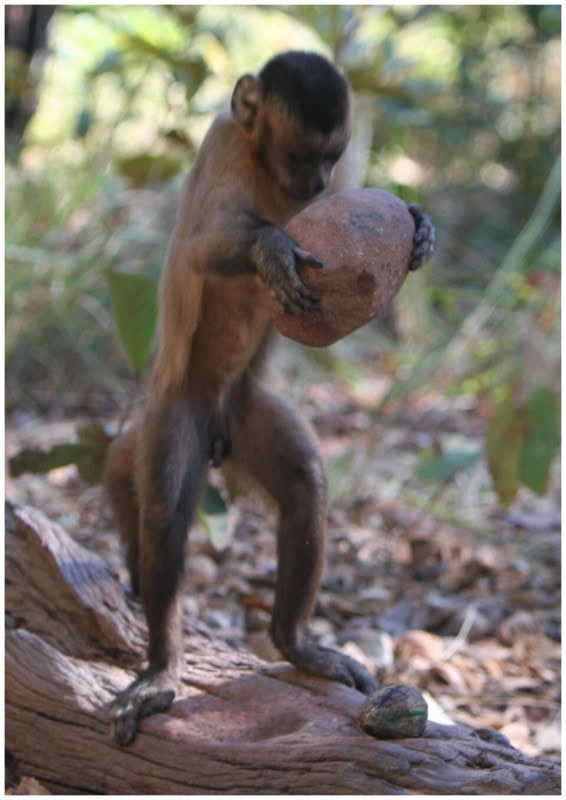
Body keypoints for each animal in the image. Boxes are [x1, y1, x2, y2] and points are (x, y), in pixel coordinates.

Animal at [106, 50, 436, 746]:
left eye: (331, 159)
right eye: (302, 155)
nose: (317, 183)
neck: (266, 166)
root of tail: (217, 422)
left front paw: (419, 228)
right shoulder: (224, 143)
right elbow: (203, 243)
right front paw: (271, 248)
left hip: (245, 405)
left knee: (305, 484)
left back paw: (293, 642)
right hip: (179, 407)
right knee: (165, 513)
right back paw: (162, 666)